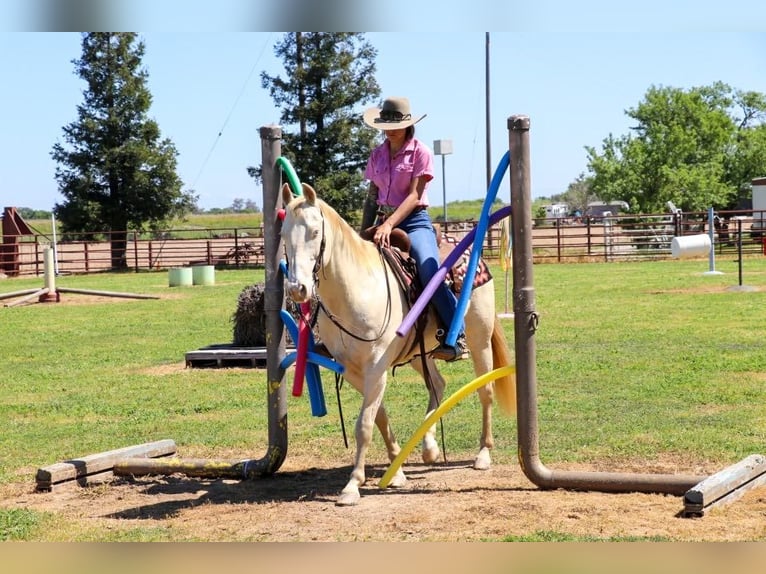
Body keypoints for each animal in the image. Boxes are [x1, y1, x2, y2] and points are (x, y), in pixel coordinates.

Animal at [280, 184, 516, 508]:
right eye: (283, 235)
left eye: (315, 232)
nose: (297, 289)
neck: (356, 290)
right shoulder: (352, 370)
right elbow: (378, 416)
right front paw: (397, 471)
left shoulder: (376, 367)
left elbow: (364, 425)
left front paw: (352, 485)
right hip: (419, 353)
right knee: (438, 384)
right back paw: (429, 447)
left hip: (480, 339)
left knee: (486, 391)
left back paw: (483, 454)